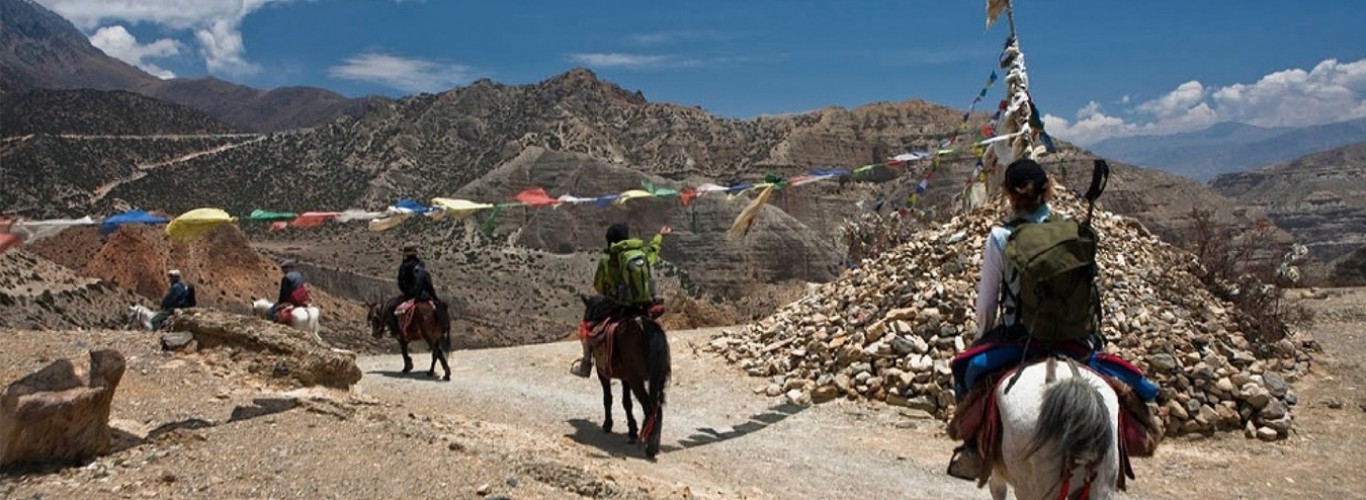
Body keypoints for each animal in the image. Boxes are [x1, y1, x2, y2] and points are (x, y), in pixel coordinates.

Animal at [576, 295, 672, 459]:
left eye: (586, 314)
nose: (587, 324)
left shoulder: (603, 373)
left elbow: (608, 398)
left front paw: (608, 424)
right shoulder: (625, 378)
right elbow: (627, 402)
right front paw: (632, 430)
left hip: (637, 382)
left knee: (650, 408)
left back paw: (650, 447)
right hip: (656, 380)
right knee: (658, 408)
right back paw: (653, 443)